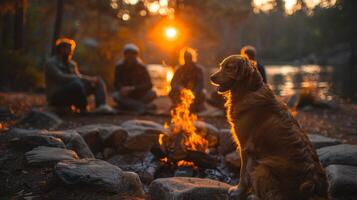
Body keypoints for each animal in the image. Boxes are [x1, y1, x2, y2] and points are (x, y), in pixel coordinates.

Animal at [209, 55, 328, 200]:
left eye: (228, 68)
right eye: (221, 66)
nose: (211, 77)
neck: (249, 91)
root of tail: (313, 185)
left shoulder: (245, 146)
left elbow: (243, 173)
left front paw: (238, 190)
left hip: (263, 167)